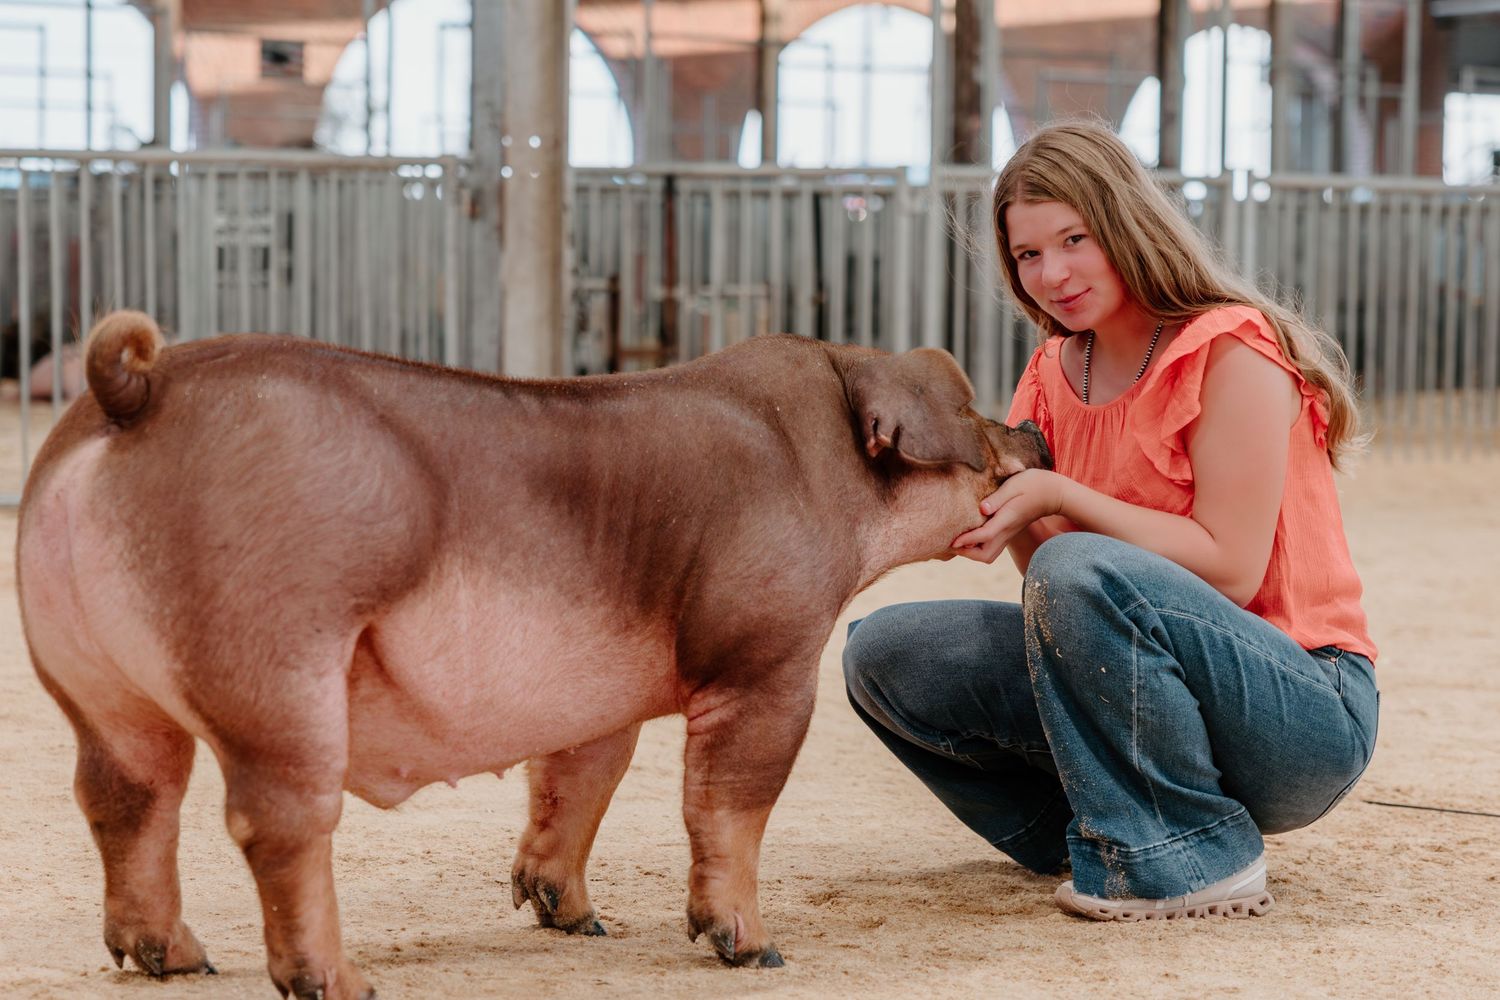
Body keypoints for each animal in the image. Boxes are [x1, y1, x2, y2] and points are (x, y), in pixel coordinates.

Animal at [17, 309, 1051, 999]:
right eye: (971, 405)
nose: (1035, 427)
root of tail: (134, 390)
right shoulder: (766, 660)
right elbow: (728, 802)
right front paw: (756, 949)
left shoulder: (596, 703)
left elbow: (577, 784)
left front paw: (580, 922)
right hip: (278, 663)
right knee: (274, 824)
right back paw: (342, 983)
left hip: (90, 684)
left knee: (122, 799)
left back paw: (178, 960)